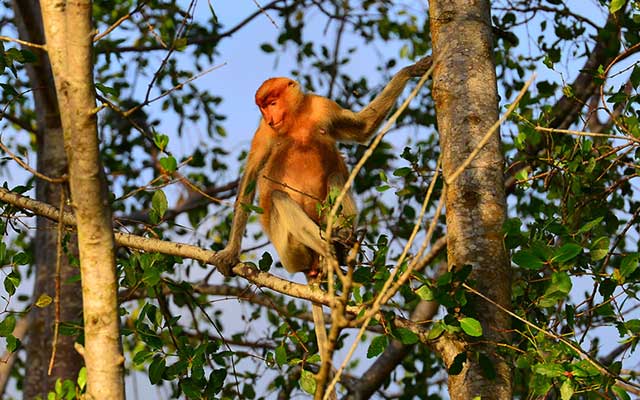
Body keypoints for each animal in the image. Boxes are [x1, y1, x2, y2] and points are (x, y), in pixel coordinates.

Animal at [212, 55, 432, 396]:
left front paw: (413, 70)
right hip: (290, 252)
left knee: (337, 176)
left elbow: (362, 128)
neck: (295, 120)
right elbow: (249, 182)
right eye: (263, 108)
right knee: (279, 198)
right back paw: (329, 253)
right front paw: (230, 254)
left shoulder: (321, 106)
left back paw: (340, 245)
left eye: (272, 102)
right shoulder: (265, 134)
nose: (270, 116)